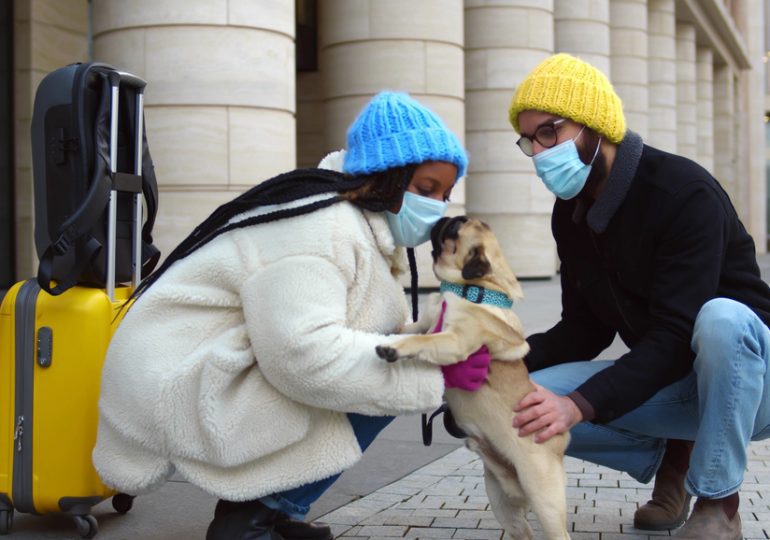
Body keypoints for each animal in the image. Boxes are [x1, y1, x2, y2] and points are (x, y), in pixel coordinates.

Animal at [376, 216, 568, 540]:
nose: (444, 217)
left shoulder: (452, 341)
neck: (473, 289)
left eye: (455, 229)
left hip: (546, 502)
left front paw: (394, 348)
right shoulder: (423, 323)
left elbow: (422, 341)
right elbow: (409, 329)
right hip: (503, 505)